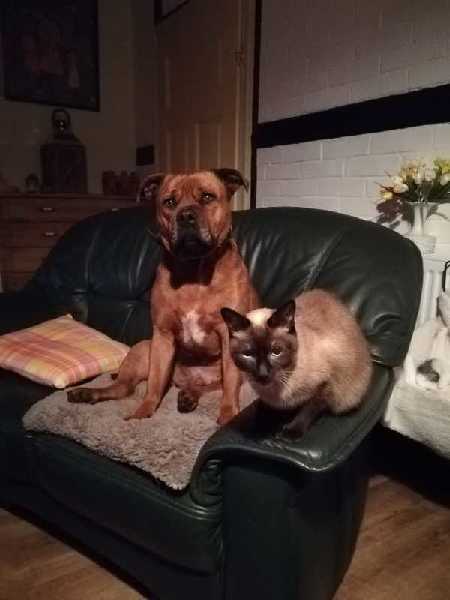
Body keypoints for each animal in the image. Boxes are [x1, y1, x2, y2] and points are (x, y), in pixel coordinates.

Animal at [68, 169, 259, 425]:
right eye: (169, 202)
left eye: (207, 197)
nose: (185, 216)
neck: (193, 270)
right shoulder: (162, 334)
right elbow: (154, 385)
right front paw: (143, 414)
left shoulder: (229, 335)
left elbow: (229, 382)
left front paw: (228, 414)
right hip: (143, 348)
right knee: (125, 387)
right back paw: (87, 393)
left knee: (212, 385)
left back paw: (189, 395)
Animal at [221, 289, 373, 436]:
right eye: (248, 354)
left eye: (276, 351)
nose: (263, 374)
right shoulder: (268, 400)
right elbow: (263, 409)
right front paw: (259, 426)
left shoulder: (325, 385)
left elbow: (308, 410)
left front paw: (292, 431)